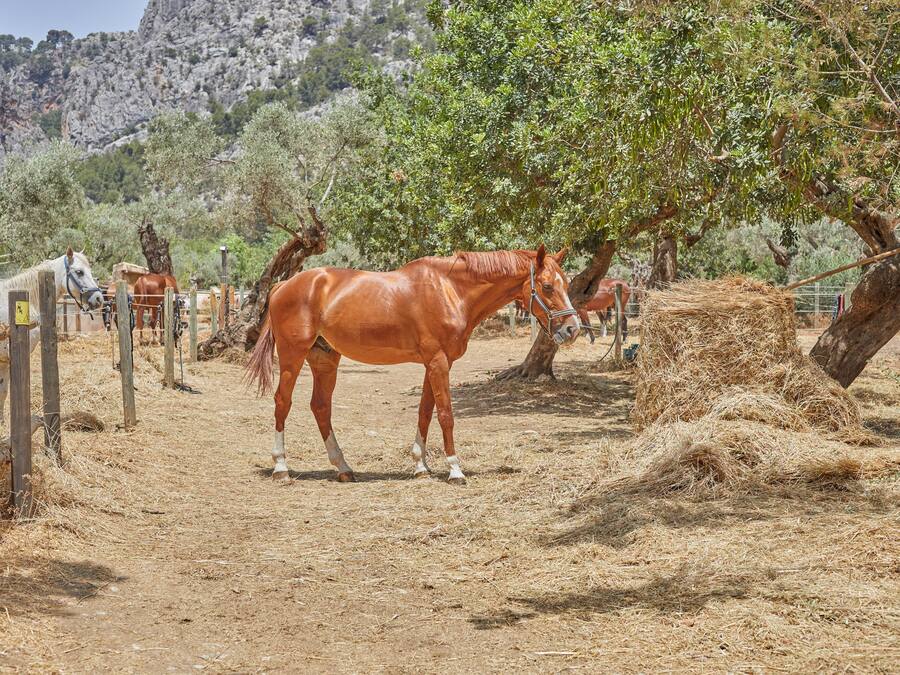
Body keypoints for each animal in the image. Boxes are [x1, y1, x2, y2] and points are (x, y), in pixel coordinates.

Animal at [246, 245, 580, 485]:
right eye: (547, 286)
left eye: (566, 283)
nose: (572, 329)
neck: (451, 291)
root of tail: (284, 285)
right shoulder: (438, 362)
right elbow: (445, 415)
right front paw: (455, 469)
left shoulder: (434, 364)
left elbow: (425, 412)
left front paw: (421, 465)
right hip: (292, 356)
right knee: (282, 402)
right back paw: (281, 467)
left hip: (324, 359)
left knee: (320, 407)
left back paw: (343, 467)